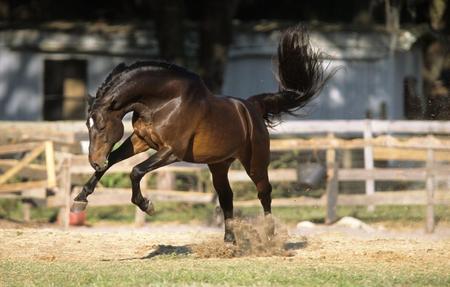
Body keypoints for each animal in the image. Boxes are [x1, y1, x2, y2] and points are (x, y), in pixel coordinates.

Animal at [72, 26, 328, 243]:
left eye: (101, 126)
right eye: (87, 125)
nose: (94, 161)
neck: (163, 100)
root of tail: (252, 107)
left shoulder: (171, 151)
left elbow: (135, 171)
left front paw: (147, 205)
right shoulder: (141, 140)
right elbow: (114, 161)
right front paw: (80, 199)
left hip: (255, 162)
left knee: (264, 193)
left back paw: (270, 236)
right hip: (219, 165)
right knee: (226, 197)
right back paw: (229, 242)